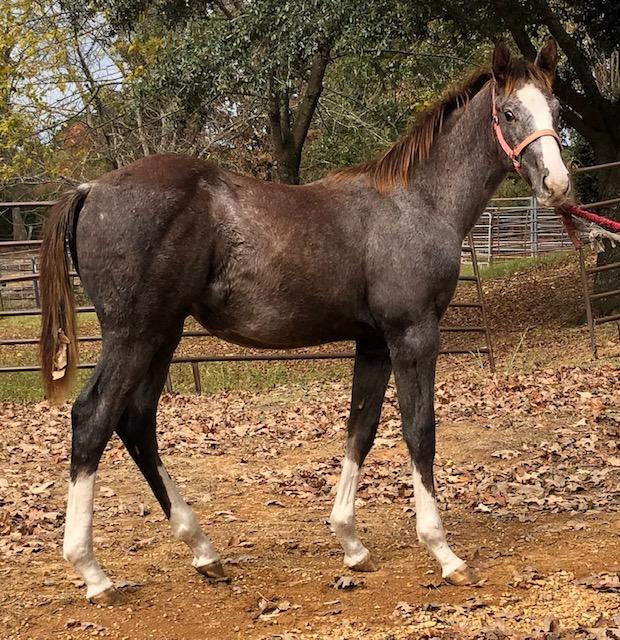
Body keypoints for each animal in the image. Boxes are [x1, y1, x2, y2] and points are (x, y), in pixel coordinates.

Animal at [39, 39, 570, 604]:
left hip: (163, 335)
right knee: (92, 419)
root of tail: (90, 188)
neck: (416, 201)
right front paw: (444, 553)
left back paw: (203, 551)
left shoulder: (374, 342)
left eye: (556, 110)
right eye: (509, 113)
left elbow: (360, 428)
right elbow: (419, 430)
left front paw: (351, 543)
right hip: (134, 335)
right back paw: (93, 573)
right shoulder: (413, 334)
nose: (557, 184)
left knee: (137, 422)